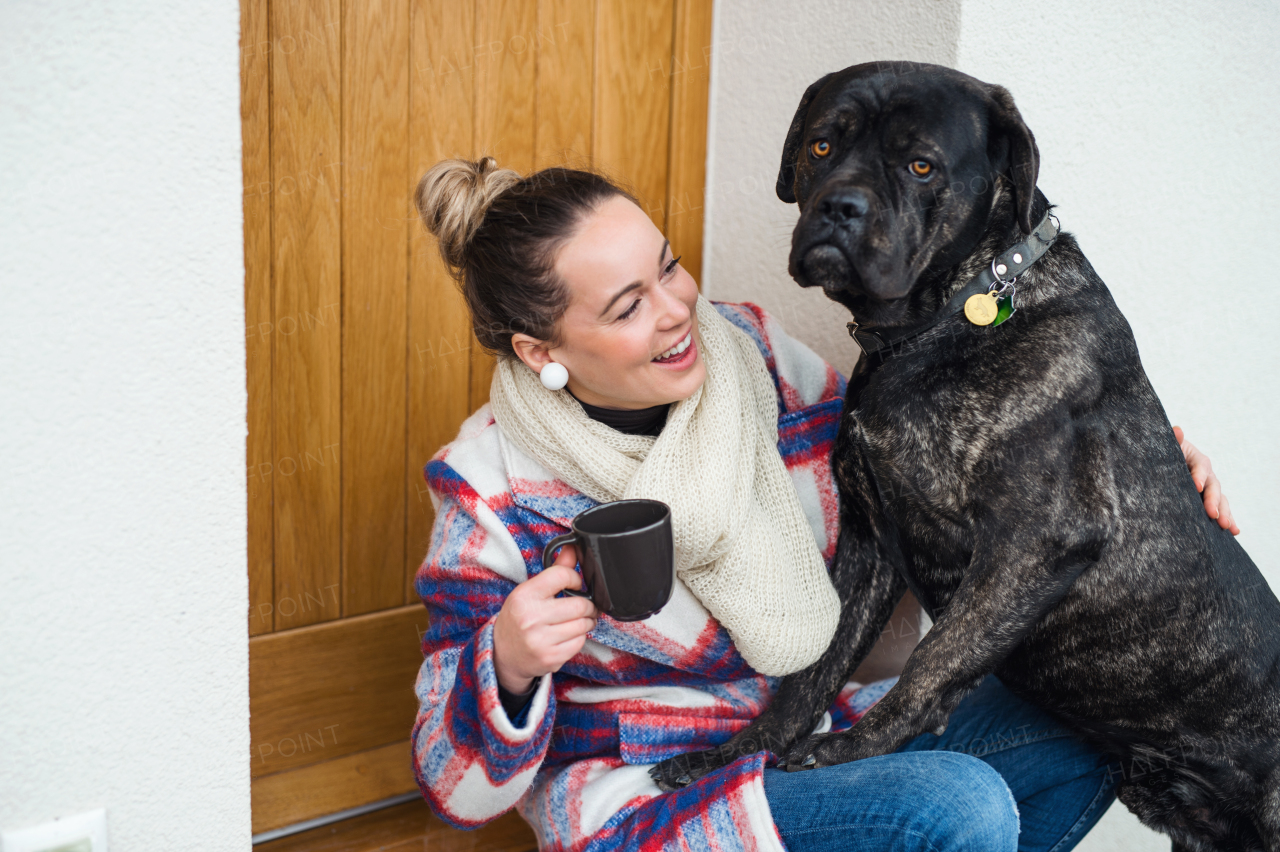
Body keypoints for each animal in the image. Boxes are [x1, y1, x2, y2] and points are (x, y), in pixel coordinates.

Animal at [655, 63, 1280, 844]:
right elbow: (816, 666)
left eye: (921, 166)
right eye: (823, 147)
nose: (840, 207)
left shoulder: (1035, 542)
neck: (960, 307)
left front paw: (849, 751)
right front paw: (735, 756)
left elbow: (932, 658)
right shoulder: (870, 542)